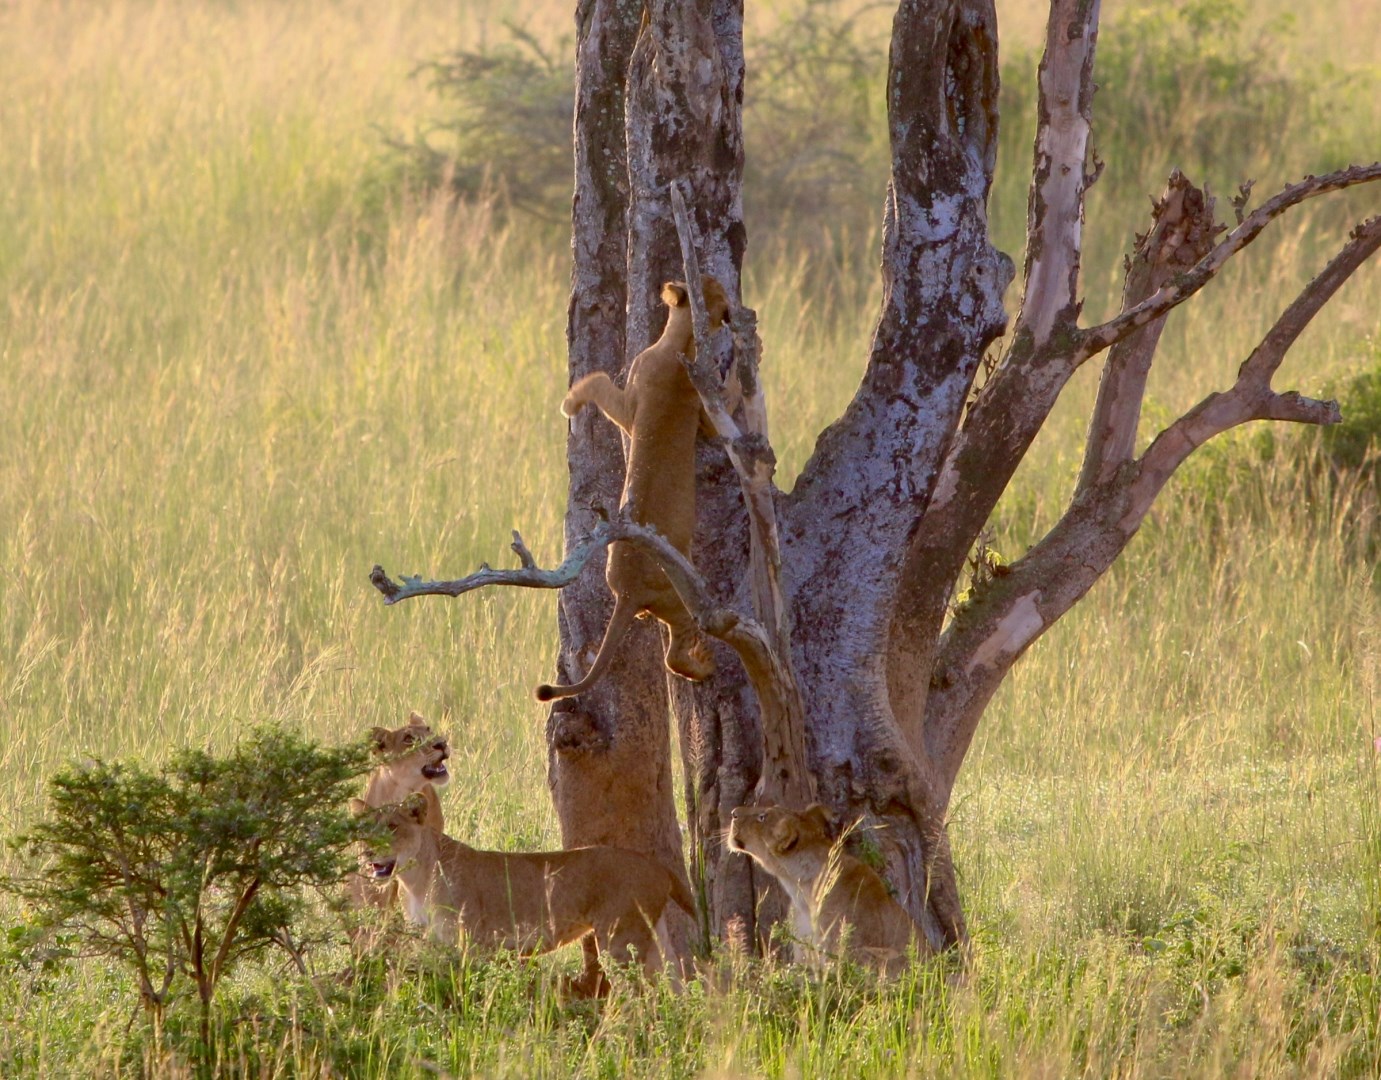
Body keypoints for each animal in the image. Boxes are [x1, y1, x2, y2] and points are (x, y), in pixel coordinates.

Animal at [351, 794, 696, 993]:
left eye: (392, 826)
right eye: (363, 827)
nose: (367, 852)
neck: (414, 878)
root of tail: (656, 866)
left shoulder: (472, 944)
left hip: (620, 940)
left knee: (638, 998)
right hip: (654, 937)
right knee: (675, 985)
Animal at [536, 276, 731, 702]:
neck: (680, 341)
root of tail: (629, 592)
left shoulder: (634, 407)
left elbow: (599, 382)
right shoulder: (676, 407)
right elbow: (598, 380)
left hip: (656, 595)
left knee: (671, 651)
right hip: (671, 597)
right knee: (673, 652)